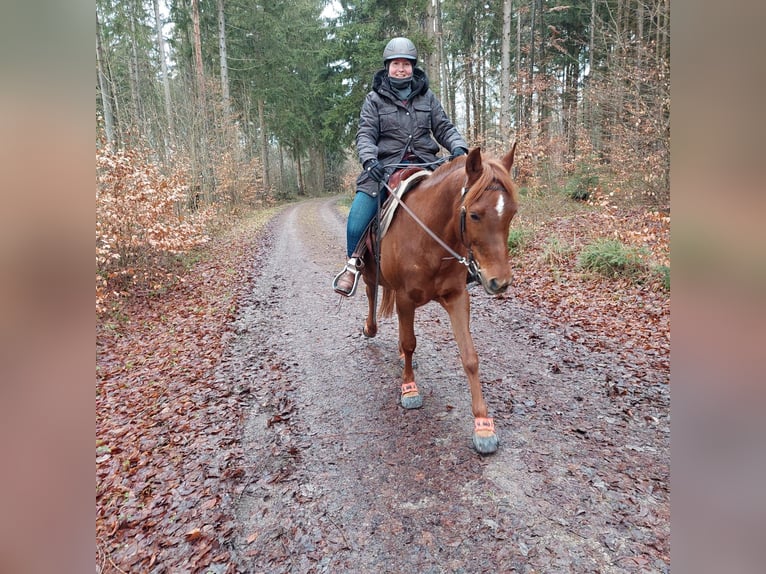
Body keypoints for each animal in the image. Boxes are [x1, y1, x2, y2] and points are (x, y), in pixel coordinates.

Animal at [362, 146, 520, 456]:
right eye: (474, 215)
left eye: (511, 213)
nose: (500, 282)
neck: (429, 237)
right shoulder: (405, 298)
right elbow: (409, 343)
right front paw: (409, 389)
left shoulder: (457, 297)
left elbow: (470, 357)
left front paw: (483, 426)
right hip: (367, 271)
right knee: (370, 293)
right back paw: (369, 327)